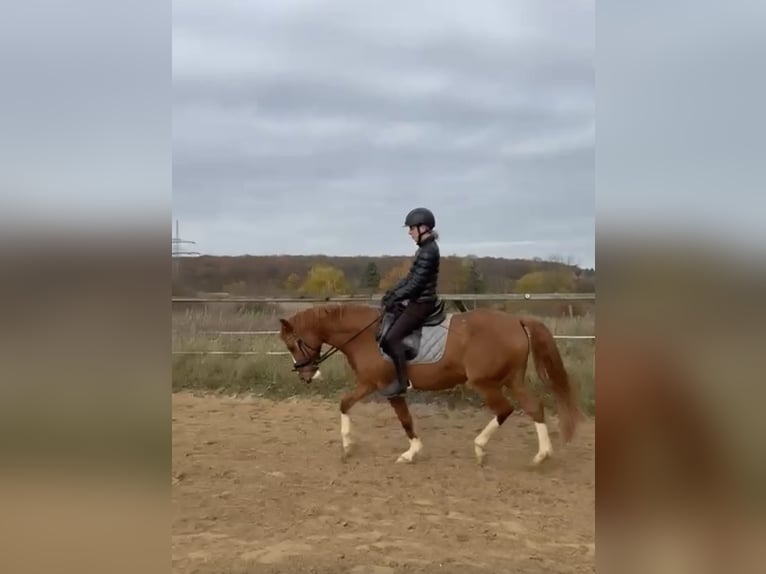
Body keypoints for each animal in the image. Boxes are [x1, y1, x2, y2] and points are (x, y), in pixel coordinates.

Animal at [277, 302, 581, 466]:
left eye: (293, 344)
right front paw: (349, 447)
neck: (366, 336)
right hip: (511, 379)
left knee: (505, 410)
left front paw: (409, 453)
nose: (305, 376)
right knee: (535, 408)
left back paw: (480, 449)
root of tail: (516, 321)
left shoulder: (385, 386)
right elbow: (348, 405)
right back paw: (541, 456)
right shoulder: (373, 384)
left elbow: (402, 419)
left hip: (485, 383)